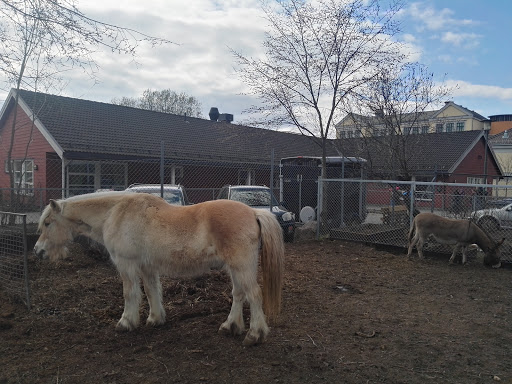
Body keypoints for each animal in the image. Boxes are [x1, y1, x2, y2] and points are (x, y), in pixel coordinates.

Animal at [34, 192, 286, 344]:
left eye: (47, 223)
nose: (38, 252)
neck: (115, 213)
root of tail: (254, 212)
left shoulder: (127, 264)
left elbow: (130, 294)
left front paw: (126, 322)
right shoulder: (147, 267)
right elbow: (151, 291)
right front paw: (155, 318)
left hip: (242, 266)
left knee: (254, 294)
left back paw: (255, 334)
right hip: (235, 268)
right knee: (239, 294)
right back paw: (230, 325)